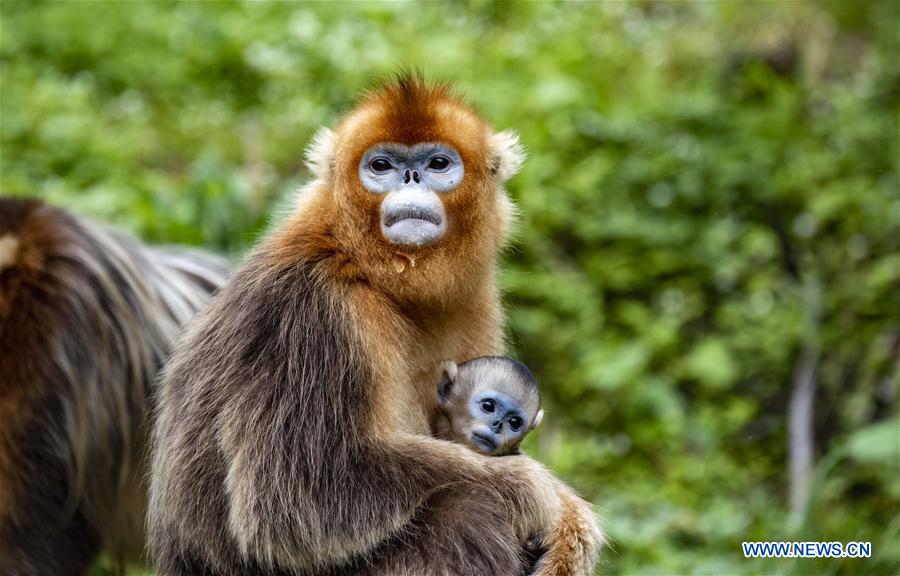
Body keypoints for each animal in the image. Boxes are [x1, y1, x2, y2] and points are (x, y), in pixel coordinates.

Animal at [149, 74, 603, 576]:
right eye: (381, 165)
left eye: (438, 163)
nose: (411, 177)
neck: (363, 265)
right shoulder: (316, 311)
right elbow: (296, 503)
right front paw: (531, 488)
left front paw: (571, 528)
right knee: (467, 510)